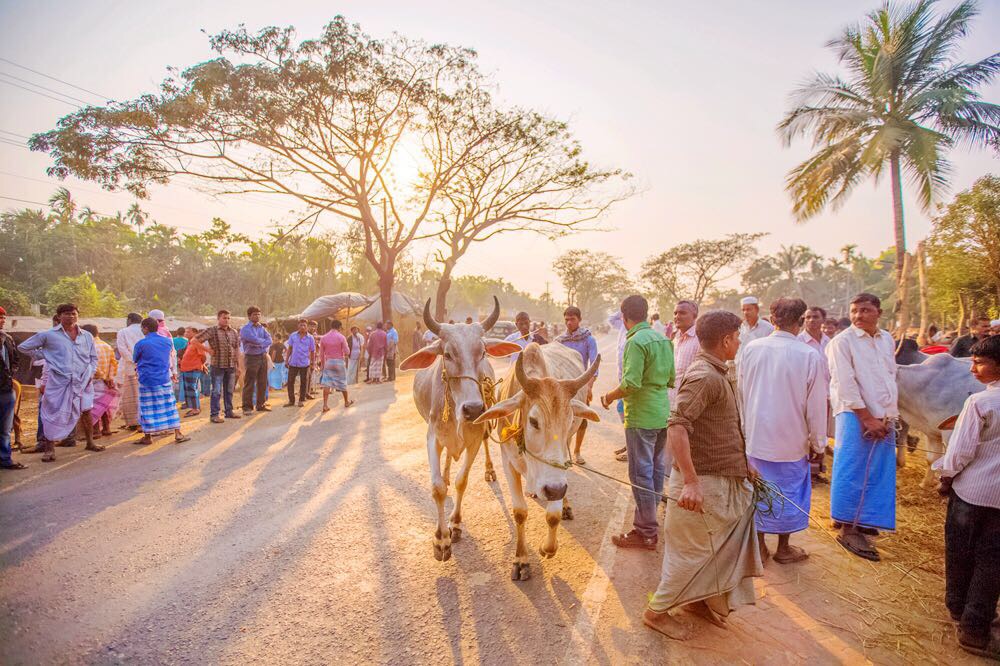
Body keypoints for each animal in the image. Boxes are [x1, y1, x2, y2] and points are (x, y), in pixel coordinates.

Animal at [400, 296, 524, 560]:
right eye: (447, 354)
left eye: (483, 352)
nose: (473, 409)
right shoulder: (432, 437)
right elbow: (437, 487)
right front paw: (441, 540)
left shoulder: (474, 439)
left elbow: (462, 481)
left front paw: (455, 524)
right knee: (447, 458)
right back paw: (446, 472)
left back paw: (489, 470)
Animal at [472, 340, 596, 580]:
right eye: (533, 421)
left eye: (570, 420)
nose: (555, 490)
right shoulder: (508, 462)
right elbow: (520, 513)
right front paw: (521, 560)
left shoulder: (558, 469)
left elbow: (553, 516)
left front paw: (546, 548)